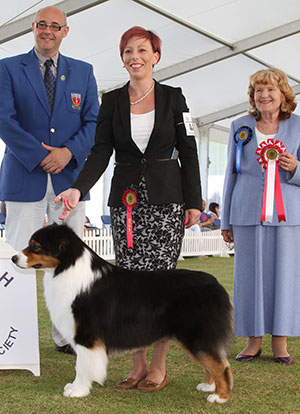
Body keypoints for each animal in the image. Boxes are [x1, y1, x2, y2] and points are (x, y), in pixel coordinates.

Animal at [11, 225, 233, 402]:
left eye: (36, 246)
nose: (13, 258)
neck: (66, 268)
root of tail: (215, 284)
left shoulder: (86, 334)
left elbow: (81, 365)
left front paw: (77, 390)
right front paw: (76, 388)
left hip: (196, 335)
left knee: (222, 365)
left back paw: (219, 397)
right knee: (213, 362)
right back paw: (208, 386)